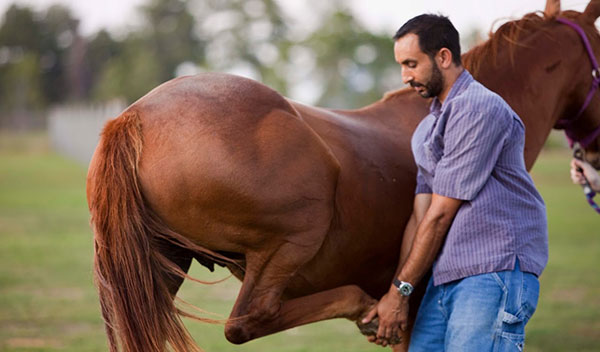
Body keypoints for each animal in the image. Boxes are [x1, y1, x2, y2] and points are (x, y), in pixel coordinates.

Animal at [88, 1, 600, 350]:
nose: (591, 158)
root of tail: (132, 118)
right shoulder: (414, 307)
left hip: (156, 269)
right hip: (294, 237)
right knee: (246, 321)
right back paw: (361, 306)